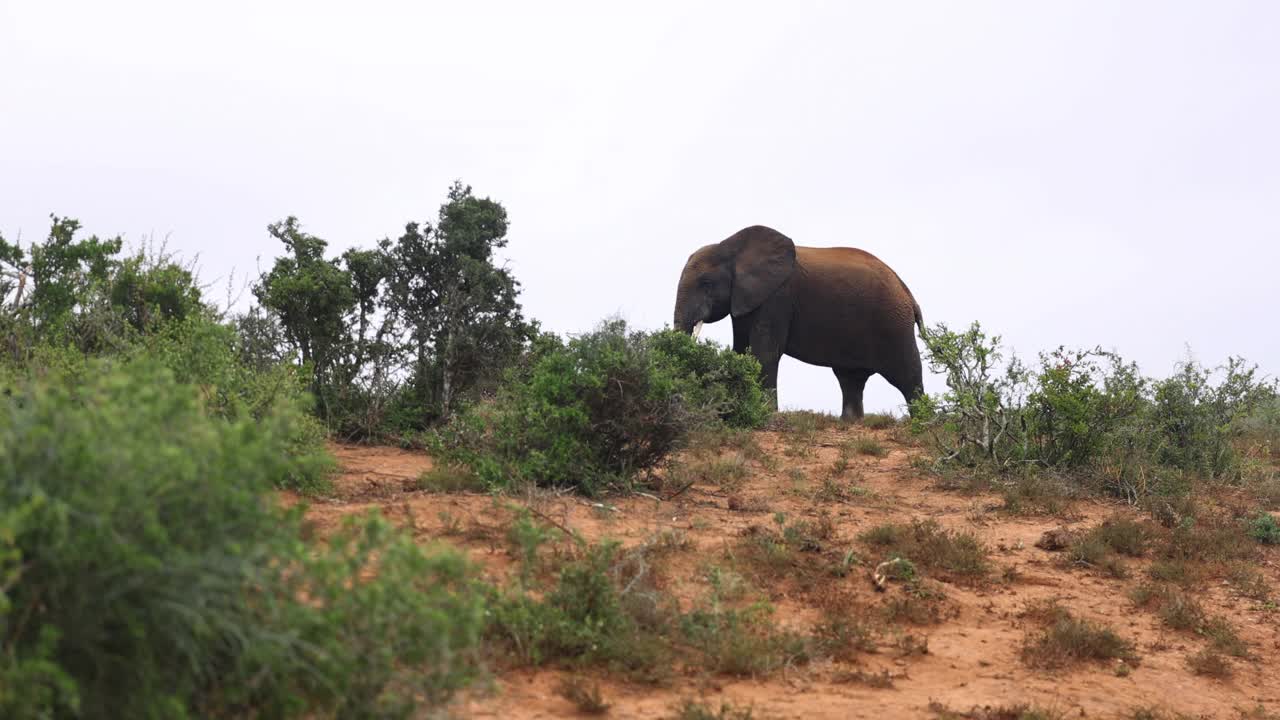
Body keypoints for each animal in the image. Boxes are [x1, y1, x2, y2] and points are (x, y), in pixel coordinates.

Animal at [675, 224, 926, 420]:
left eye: (706, 283)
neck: (730, 247)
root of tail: (909, 294)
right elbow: (741, 350)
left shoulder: (777, 297)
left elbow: (765, 352)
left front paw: (764, 413)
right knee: (850, 379)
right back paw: (849, 422)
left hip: (894, 324)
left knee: (908, 377)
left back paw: (923, 421)